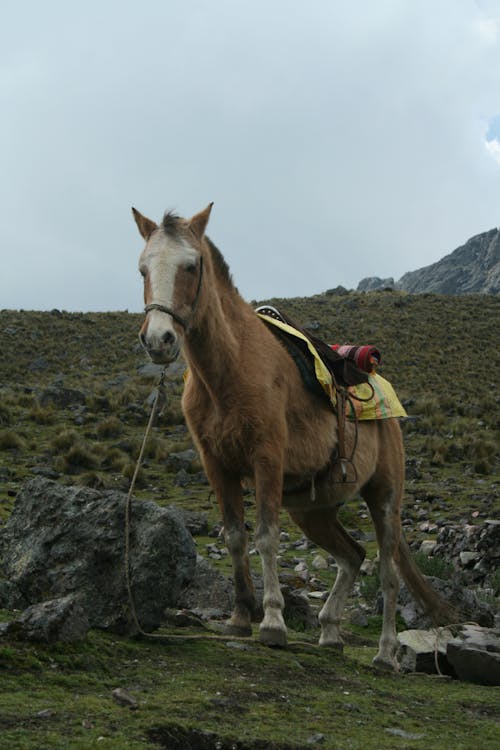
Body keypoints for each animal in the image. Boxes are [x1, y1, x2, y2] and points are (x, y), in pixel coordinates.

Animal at [133, 203, 454, 672]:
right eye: (142, 268)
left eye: (191, 265)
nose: (158, 340)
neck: (229, 370)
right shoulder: (217, 465)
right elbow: (235, 536)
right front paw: (238, 618)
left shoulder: (267, 457)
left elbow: (265, 536)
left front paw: (272, 623)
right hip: (312, 510)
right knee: (352, 556)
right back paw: (330, 633)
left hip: (384, 498)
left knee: (388, 573)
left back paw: (384, 652)